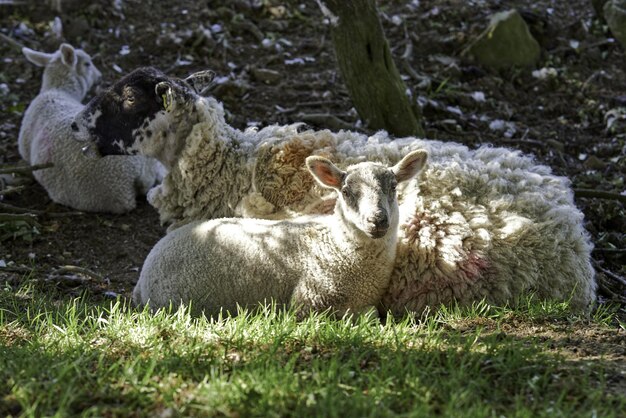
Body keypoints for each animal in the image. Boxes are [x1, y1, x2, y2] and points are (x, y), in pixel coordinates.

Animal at [134, 149, 426, 316]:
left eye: (393, 188)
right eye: (346, 192)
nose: (377, 220)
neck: (335, 243)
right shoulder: (309, 302)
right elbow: (370, 316)